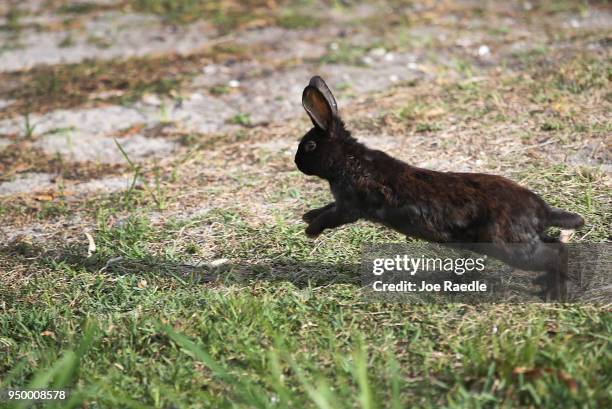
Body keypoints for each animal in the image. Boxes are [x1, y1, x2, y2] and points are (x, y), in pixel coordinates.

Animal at [294, 75, 584, 300]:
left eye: (310, 146)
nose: (296, 163)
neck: (348, 159)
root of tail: (542, 211)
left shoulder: (350, 206)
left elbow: (331, 216)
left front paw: (311, 230)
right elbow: (326, 207)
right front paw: (307, 216)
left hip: (508, 245)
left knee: (552, 254)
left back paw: (554, 295)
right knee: (557, 246)